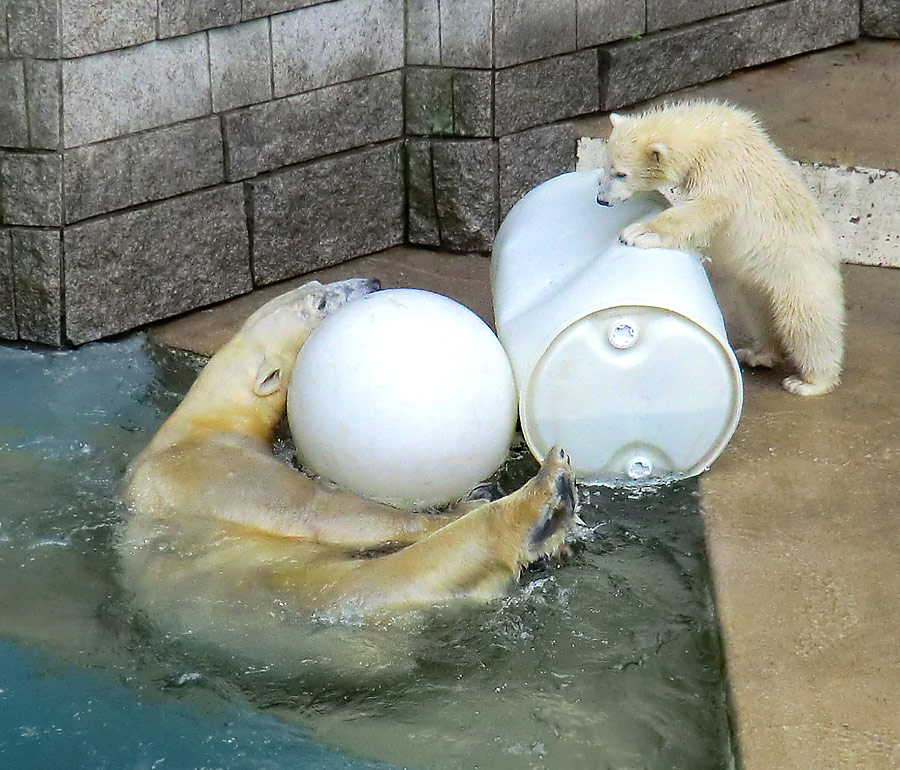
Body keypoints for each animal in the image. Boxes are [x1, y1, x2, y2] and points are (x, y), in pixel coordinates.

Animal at [119, 280, 572, 664]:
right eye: (319, 303)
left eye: (314, 285)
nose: (372, 282)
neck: (203, 421)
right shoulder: (218, 467)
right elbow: (315, 511)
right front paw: (456, 508)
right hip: (318, 590)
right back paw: (542, 502)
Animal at [596, 98, 844, 392]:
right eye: (606, 166)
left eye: (621, 174)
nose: (601, 200)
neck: (706, 132)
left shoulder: (724, 167)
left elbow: (705, 207)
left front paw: (638, 232)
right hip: (758, 285)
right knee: (758, 314)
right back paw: (758, 354)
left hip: (799, 276)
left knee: (807, 325)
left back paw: (809, 382)